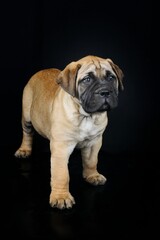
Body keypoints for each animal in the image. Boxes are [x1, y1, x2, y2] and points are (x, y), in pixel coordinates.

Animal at [14, 55, 124, 209]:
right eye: (87, 79)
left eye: (110, 78)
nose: (105, 92)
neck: (86, 116)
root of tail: (41, 71)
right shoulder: (61, 147)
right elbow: (61, 174)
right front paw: (61, 197)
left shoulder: (94, 142)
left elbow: (91, 161)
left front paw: (92, 176)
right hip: (27, 116)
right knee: (27, 133)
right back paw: (24, 150)